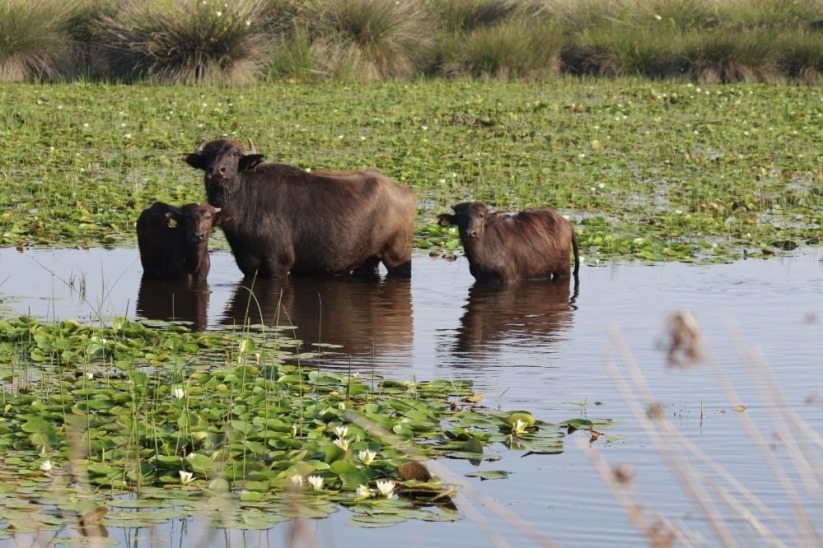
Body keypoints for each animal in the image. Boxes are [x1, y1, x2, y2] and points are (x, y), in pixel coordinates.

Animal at [184, 139, 416, 278]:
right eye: (207, 155)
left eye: (234, 154)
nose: (217, 171)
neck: (244, 204)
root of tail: (405, 191)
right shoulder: (248, 266)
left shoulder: (278, 265)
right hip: (368, 260)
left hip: (398, 256)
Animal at [438, 201, 580, 282]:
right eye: (460, 216)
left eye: (481, 215)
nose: (470, 233)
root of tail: (568, 224)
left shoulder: (508, 279)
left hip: (563, 269)